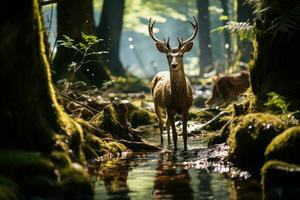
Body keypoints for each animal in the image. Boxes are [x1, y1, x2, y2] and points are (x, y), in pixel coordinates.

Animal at [149, 16, 198, 150]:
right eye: (168, 55)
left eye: (181, 55)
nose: (174, 65)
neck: (178, 96)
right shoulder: (169, 106)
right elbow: (176, 133)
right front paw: (176, 150)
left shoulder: (186, 107)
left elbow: (184, 133)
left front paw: (185, 149)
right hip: (156, 103)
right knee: (161, 123)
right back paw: (162, 144)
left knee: (167, 124)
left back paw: (169, 144)